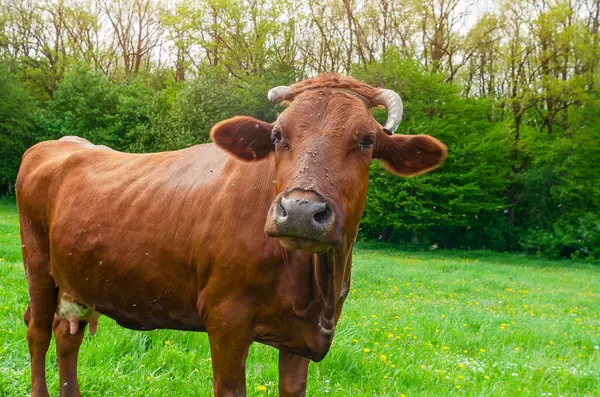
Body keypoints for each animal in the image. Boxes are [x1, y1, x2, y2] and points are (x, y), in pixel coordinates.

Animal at [16, 72, 446, 394]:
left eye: (367, 140)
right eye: (277, 136)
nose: (300, 212)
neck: (317, 289)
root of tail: (64, 143)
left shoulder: (300, 339)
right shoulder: (226, 320)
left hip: (77, 279)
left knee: (66, 334)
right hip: (37, 264)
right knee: (38, 331)